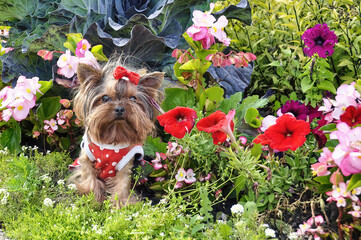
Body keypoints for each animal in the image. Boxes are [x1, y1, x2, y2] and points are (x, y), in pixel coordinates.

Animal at [69, 57, 162, 207]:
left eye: (133, 98)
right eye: (105, 98)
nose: (119, 108)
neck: (113, 135)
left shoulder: (126, 165)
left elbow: (122, 184)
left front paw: (120, 205)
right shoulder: (86, 158)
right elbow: (89, 175)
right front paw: (93, 199)